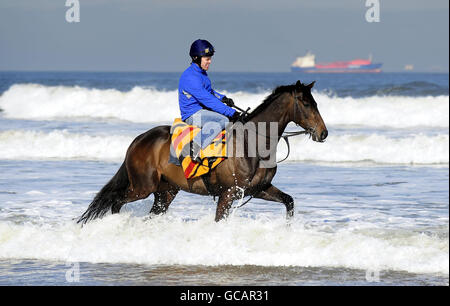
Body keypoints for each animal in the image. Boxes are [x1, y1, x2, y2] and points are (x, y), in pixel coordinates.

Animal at [78, 80, 326, 225]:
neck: (253, 143)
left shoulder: (258, 189)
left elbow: (289, 202)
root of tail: (138, 140)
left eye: (315, 102)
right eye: (305, 103)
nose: (323, 133)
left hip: (165, 192)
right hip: (142, 187)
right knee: (116, 202)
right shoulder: (228, 194)